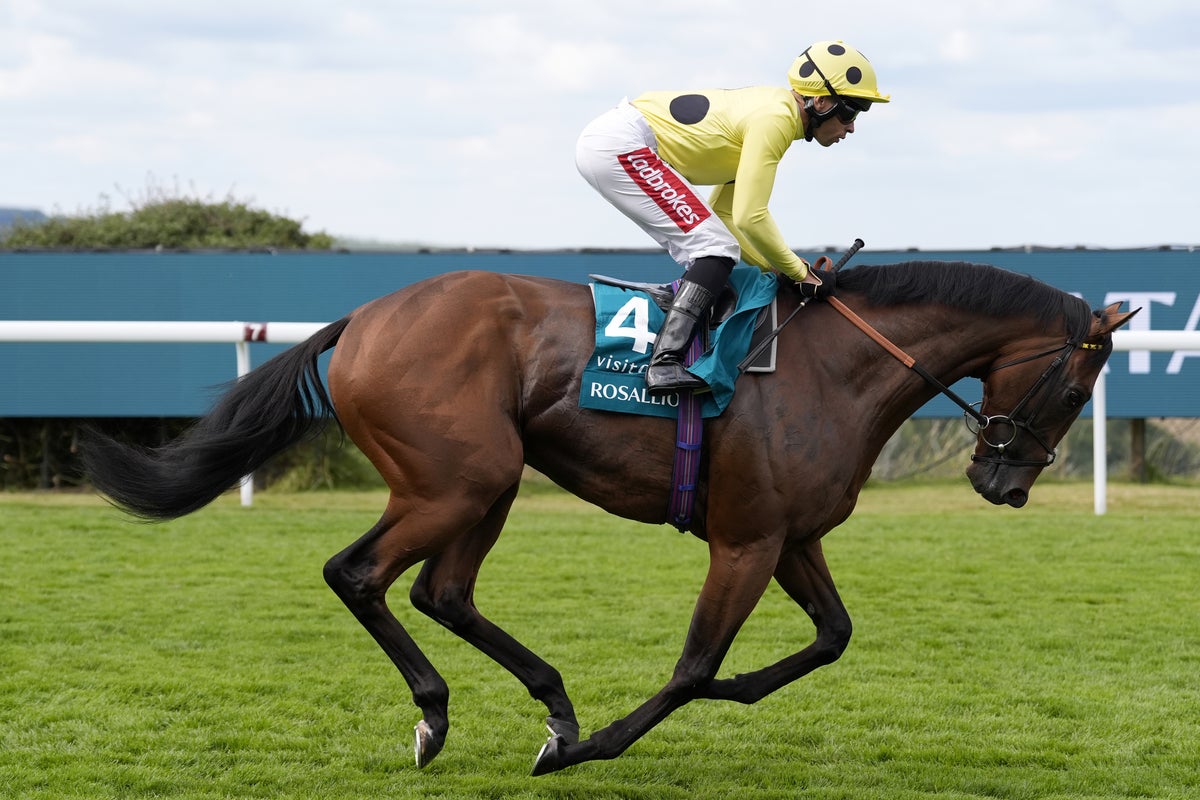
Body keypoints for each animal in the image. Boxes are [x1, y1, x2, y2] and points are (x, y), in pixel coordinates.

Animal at [80, 260, 1137, 775]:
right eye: (1076, 387)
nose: (1007, 484)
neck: (836, 367)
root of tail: (365, 319)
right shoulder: (745, 539)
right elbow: (694, 666)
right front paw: (597, 747)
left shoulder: (791, 535)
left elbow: (832, 637)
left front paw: (703, 701)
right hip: (457, 480)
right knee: (362, 574)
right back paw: (443, 716)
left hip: (488, 483)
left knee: (442, 592)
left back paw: (549, 703)